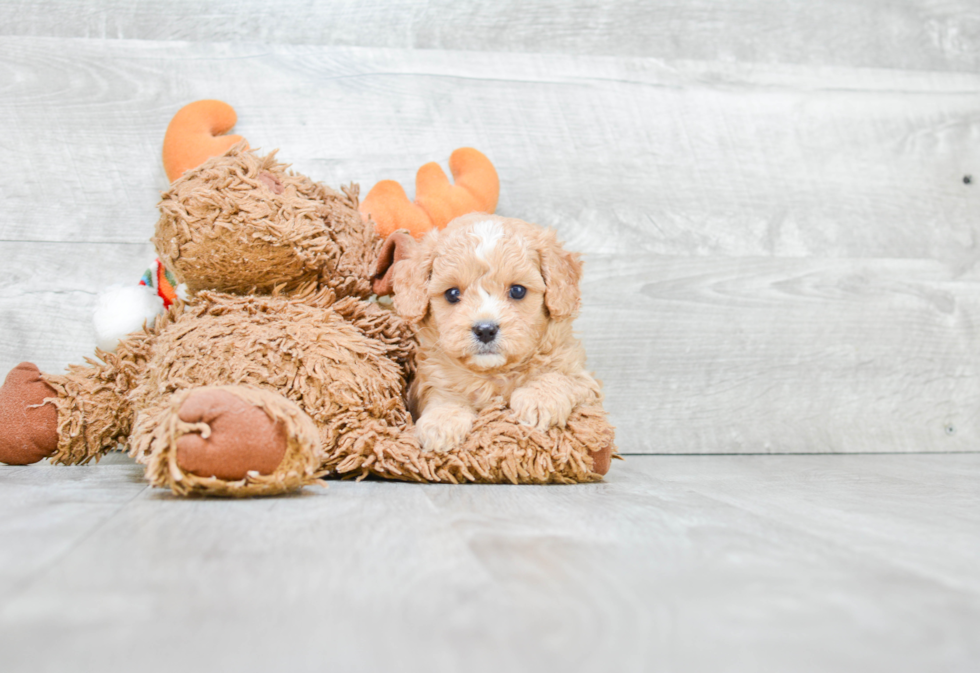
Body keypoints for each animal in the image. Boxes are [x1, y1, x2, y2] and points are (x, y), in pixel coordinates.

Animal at [388, 213, 600, 448]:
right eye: (452, 294)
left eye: (518, 291)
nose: (485, 330)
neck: (494, 374)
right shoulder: (432, 381)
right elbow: (444, 396)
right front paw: (441, 421)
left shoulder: (583, 380)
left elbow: (558, 375)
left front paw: (539, 399)